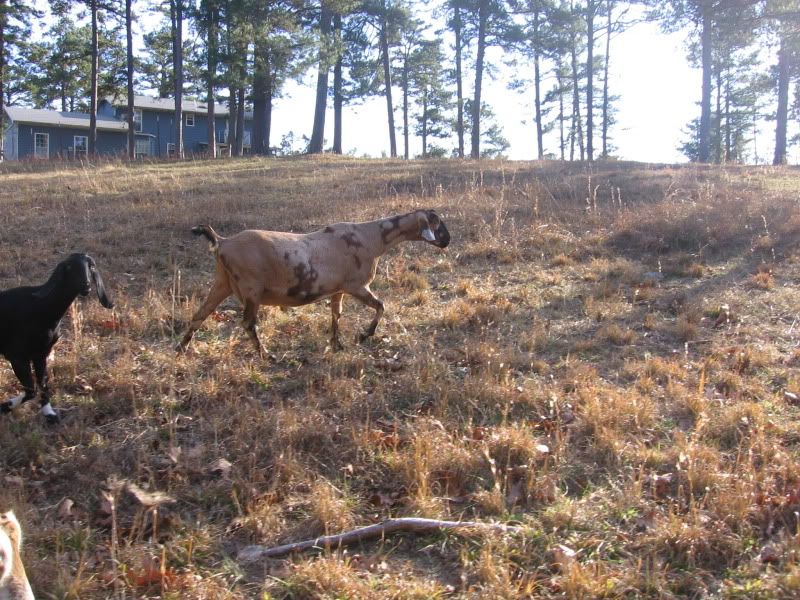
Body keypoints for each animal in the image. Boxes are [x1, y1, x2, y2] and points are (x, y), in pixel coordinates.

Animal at [0, 254, 113, 424]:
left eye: (91, 266)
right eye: (69, 267)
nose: (86, 285)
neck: (40, 306)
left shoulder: (41, 354)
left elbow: (42, 383)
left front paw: (49, 413)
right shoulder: (17, 356)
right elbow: (31, 390)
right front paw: (5, 406)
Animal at [177, 209, 450, 355]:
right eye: (435, 222)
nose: (447, 240)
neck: (373, 238)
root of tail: (222, 242)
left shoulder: (339, 288)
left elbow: (336, 314)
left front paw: (336, 344)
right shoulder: (356, 285)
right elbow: (381, 305)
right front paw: (364, 335)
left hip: (222, 282)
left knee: (199, 315)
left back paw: (182, 348)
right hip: (251, 288)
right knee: (247, 323)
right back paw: (266, 355)